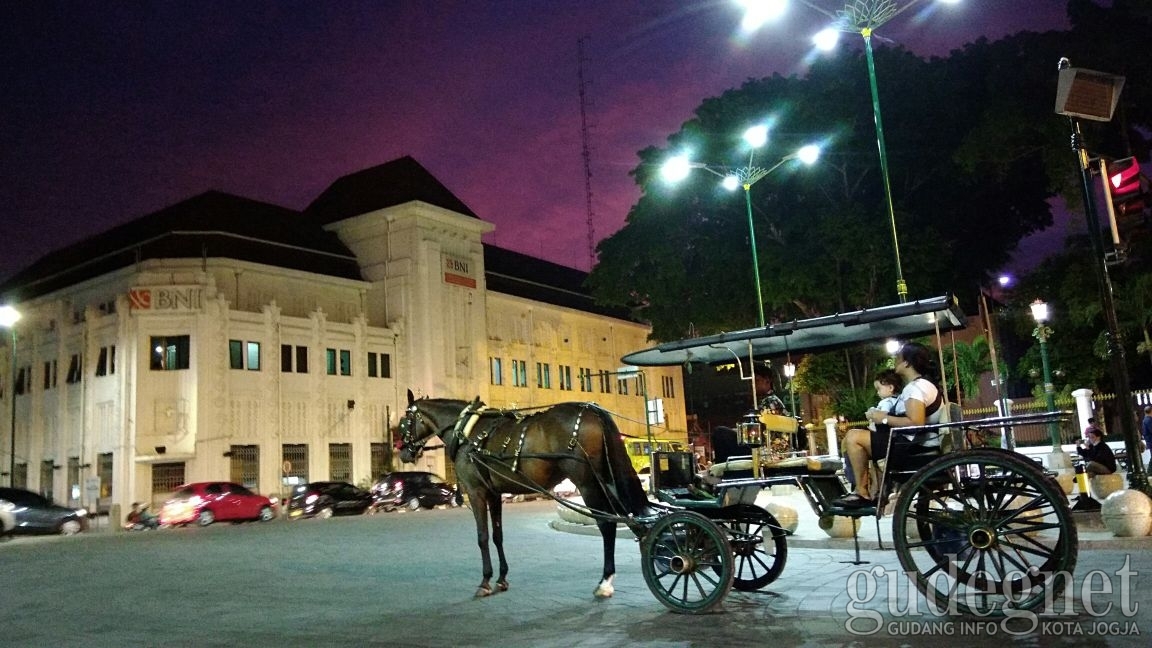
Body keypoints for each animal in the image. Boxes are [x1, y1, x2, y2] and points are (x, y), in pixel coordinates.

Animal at [393, 387, 649, 594]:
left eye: (404, 420)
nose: (403, 452)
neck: (466, 431)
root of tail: (593, 411)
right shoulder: (494, 494)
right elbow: (497, 535)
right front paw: (502, 578)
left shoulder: (476, 493)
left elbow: (482, 537)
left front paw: (485, 581)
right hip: (606, 478)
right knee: (626, 515)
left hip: (588, 482)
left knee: (607, 523)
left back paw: (605, 581)